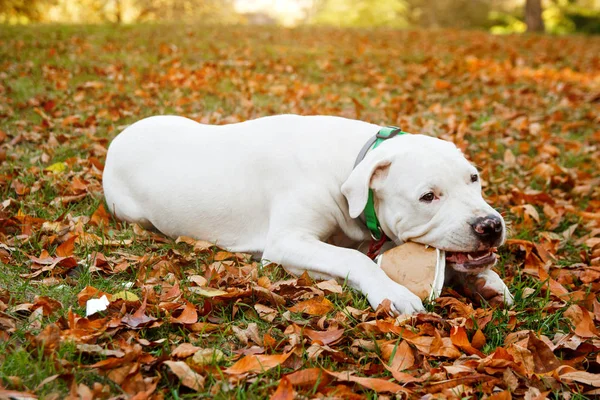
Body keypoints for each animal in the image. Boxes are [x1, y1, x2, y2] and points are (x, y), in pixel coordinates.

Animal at [103, 114, 510, 314]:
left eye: (473, 178)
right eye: (428, 197)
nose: (490, 226)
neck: (351, 161)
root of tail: (120, 137)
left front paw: (486, 280)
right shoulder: (288, 244)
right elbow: (354, 260)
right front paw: (392, 291)